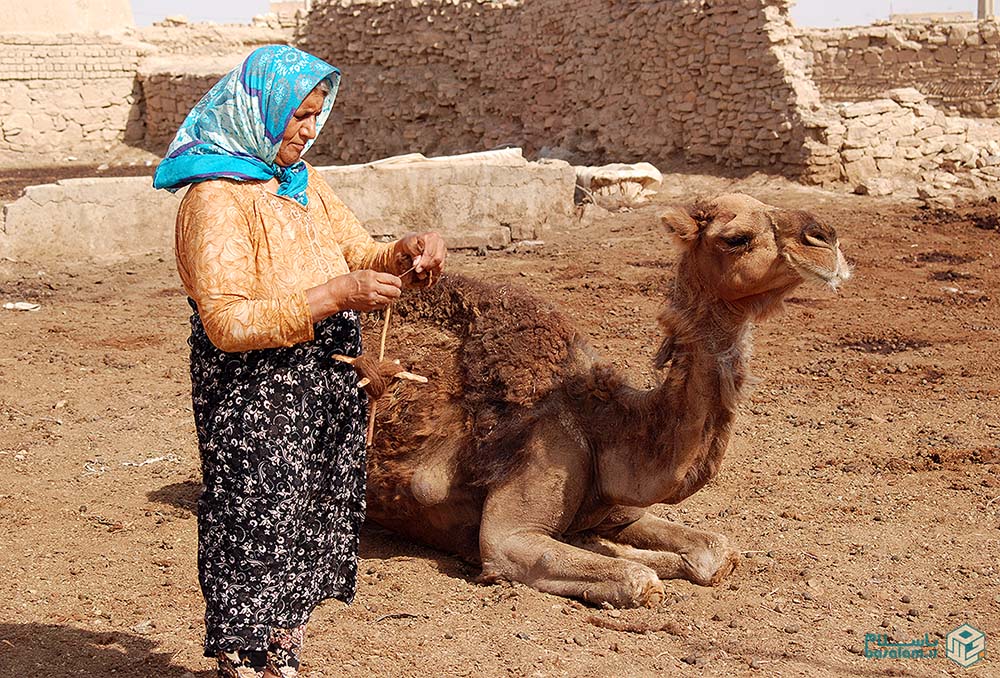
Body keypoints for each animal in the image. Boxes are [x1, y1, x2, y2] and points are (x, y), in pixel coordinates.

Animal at [360, 193, 851, 608]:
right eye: (737, 238)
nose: (825, 237)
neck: (601, 424)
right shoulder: (511, 530)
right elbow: (638, 579)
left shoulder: (619, 509)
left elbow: (717, 550)